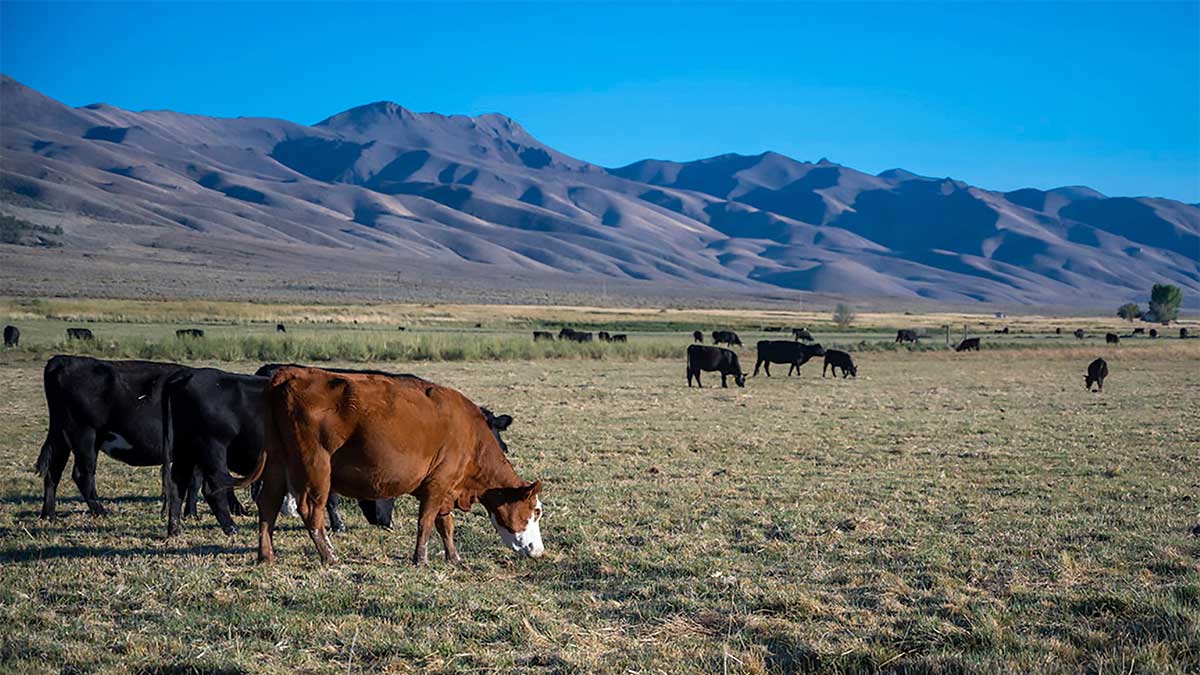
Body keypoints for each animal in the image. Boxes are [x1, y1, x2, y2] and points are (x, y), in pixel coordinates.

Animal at [34, 355, 201, 516]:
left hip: (61, 435)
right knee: (82, 474)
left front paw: (190, 513)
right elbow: (195, 482)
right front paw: (192, 514)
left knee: (53, 470)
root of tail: (63, 359)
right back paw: (101, 513)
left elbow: (194, 481)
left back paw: (48, 515)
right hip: (84, 434)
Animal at [236, 365, 547, 564]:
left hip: (277, 464)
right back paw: (330, 556)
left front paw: (454, 558)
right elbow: (427, 522)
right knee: (311, 511)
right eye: (536, 511)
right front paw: (420, 559)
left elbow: (445, 525)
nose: (538, 549)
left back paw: (266, 555)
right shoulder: (437, 485)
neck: (471, 436)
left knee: (268, 506)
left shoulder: (446, 489)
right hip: (315, 467)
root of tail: (289, 374)